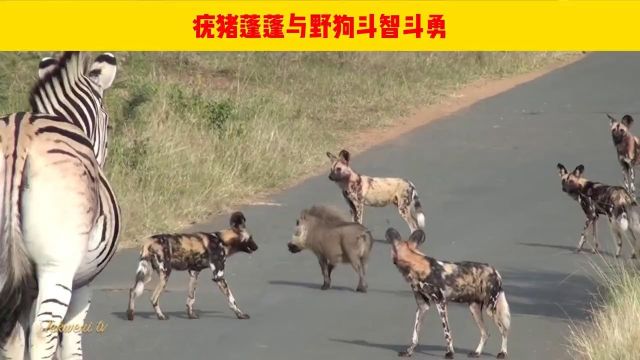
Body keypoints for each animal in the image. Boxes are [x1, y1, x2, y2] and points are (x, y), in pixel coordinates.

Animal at [0, 52, 121, 360]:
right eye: (108, 124)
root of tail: (20, 135)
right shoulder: (82, 284)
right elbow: (69, 343)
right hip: (58, 265)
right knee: (44, 333)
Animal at [126, 211, 258, 320]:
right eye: (251, 237)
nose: (257, 247)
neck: (222, 241)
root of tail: (149, 241)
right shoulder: (219, 276)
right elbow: (232, 299)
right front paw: (240, 314)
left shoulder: (194, 273)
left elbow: (190, 298)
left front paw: (191, 315)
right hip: (165, 274)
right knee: (153, 298)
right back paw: (161, 316)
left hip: (146, 274)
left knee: (133, 290)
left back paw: (130, 315)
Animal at [384, 229, 510, 358]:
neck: (416, 265)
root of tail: (495, 271)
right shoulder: (422, 306)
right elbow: (415, 334)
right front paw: (409, 351)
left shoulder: (441, 303)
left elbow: (447, 333)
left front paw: (450, 353)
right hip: (474, 309)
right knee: (485, 333)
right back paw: (477, 352)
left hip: (490, 309)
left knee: (504, 330)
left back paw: (502, 352)